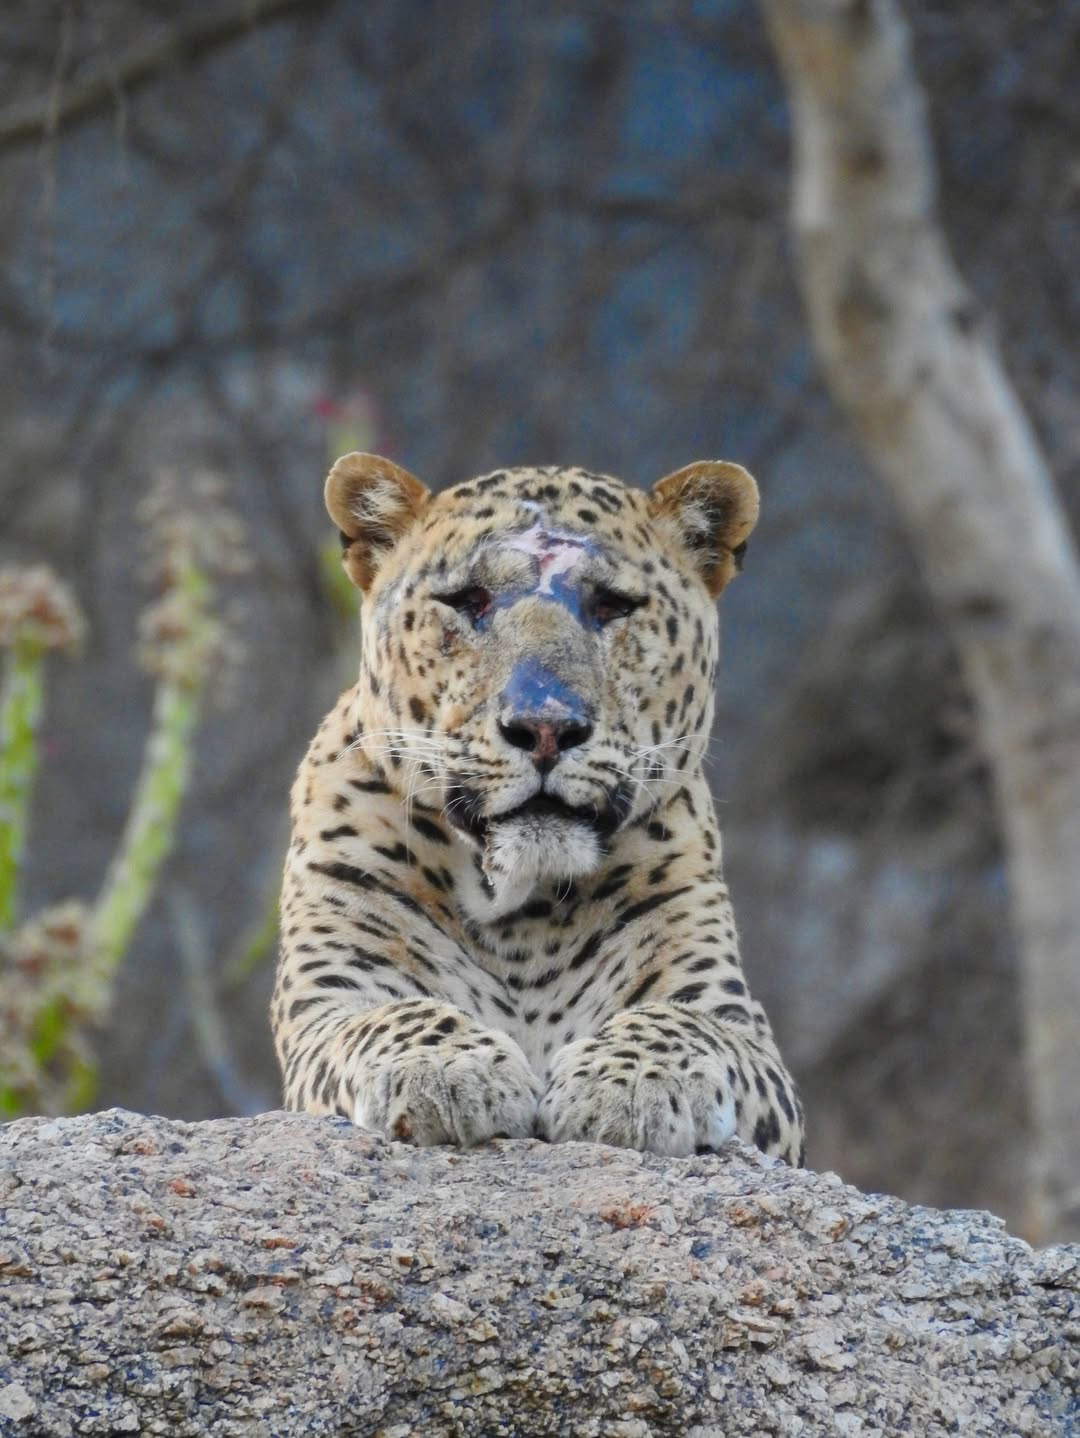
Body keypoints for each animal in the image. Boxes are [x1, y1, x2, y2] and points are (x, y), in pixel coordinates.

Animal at [271, 452, 805, 1165]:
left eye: (612, 605)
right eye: (468, 601)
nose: (545, 728)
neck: (520, 916)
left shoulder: (741, 1030)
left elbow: (685, 1023)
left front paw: (629, 1082)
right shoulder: (332, 998)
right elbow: (387, 1017)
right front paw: (450, 1068)